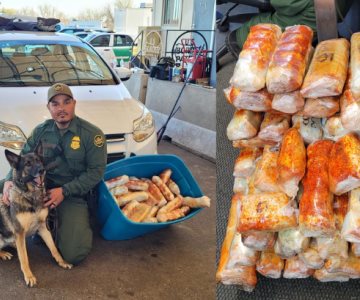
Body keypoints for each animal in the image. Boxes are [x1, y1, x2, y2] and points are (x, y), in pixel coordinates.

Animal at [0, 146, 71, 288]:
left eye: (38, 160)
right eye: (27, 164)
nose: (42, 170)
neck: (31, 196)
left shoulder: (43, 227)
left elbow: (53, 248)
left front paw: (62, 262)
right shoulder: (20, 232)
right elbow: (24, 259)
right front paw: (29, 276)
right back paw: (4, 253)